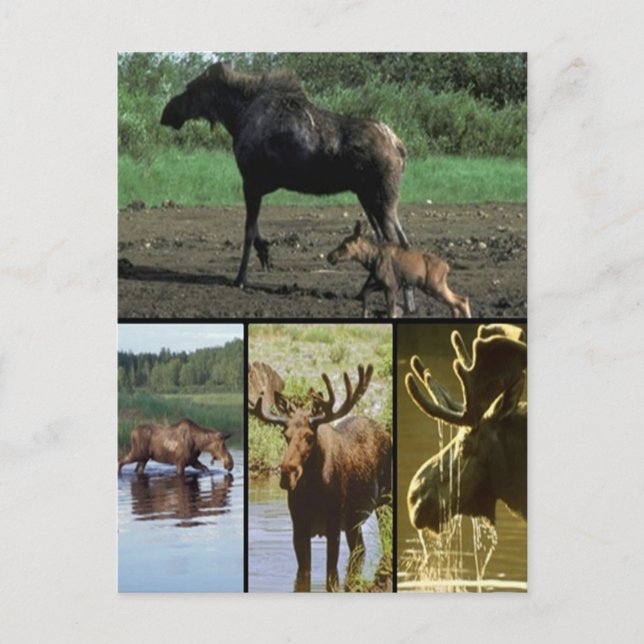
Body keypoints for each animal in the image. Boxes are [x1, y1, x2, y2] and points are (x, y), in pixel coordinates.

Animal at [249, 364, 392, 592]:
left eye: (309, 436)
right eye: (285, 434)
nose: (287, 474)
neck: (313, 493)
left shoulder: (333, 524)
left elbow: (331, 574)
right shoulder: (299, 527)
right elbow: (304, 573)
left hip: (385, 500)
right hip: (354, 521)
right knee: (359, 550)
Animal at [327, 221, 471, 318]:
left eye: (344, 245)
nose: (330, 256)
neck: (369, 260)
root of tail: (447, 266)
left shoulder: (391, 285)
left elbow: (391, 313)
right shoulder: (382, 284)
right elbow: (366, 293)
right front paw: (364, 315)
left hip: (435, 286)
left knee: (461, 301)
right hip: (433, 287)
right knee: (456, 303)